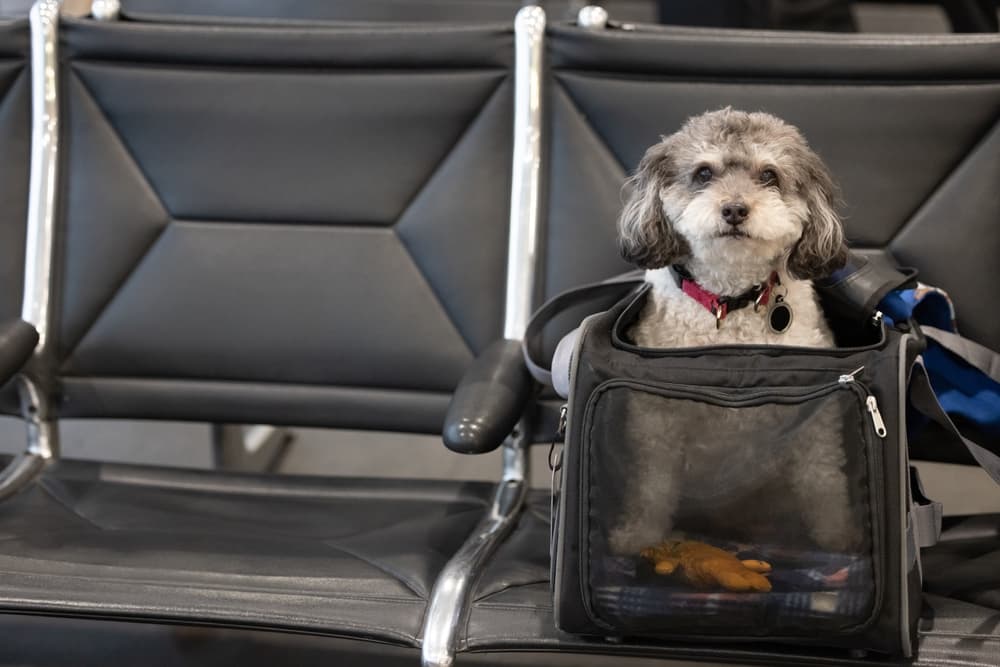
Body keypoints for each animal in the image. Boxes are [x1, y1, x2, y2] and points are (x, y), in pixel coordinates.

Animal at [604, 109, 864, 560]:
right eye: (704, 173)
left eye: (769, 175)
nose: (735, 209)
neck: (730, 301)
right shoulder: (656, 420)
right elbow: (651, 485)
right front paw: (639, 536)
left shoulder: (815, 419)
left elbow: (823, 481)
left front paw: (839, 537)